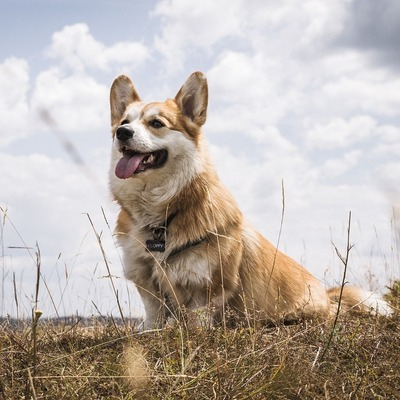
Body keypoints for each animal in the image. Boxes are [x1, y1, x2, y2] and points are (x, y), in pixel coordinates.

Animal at [108, 71, 390, 328]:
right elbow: (153, 321)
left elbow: (198, 324)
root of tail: (329, 296)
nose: (122, 132)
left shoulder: (207, 290)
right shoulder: (148, 286)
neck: (162, 212)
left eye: (156, 123)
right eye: (124, 121)